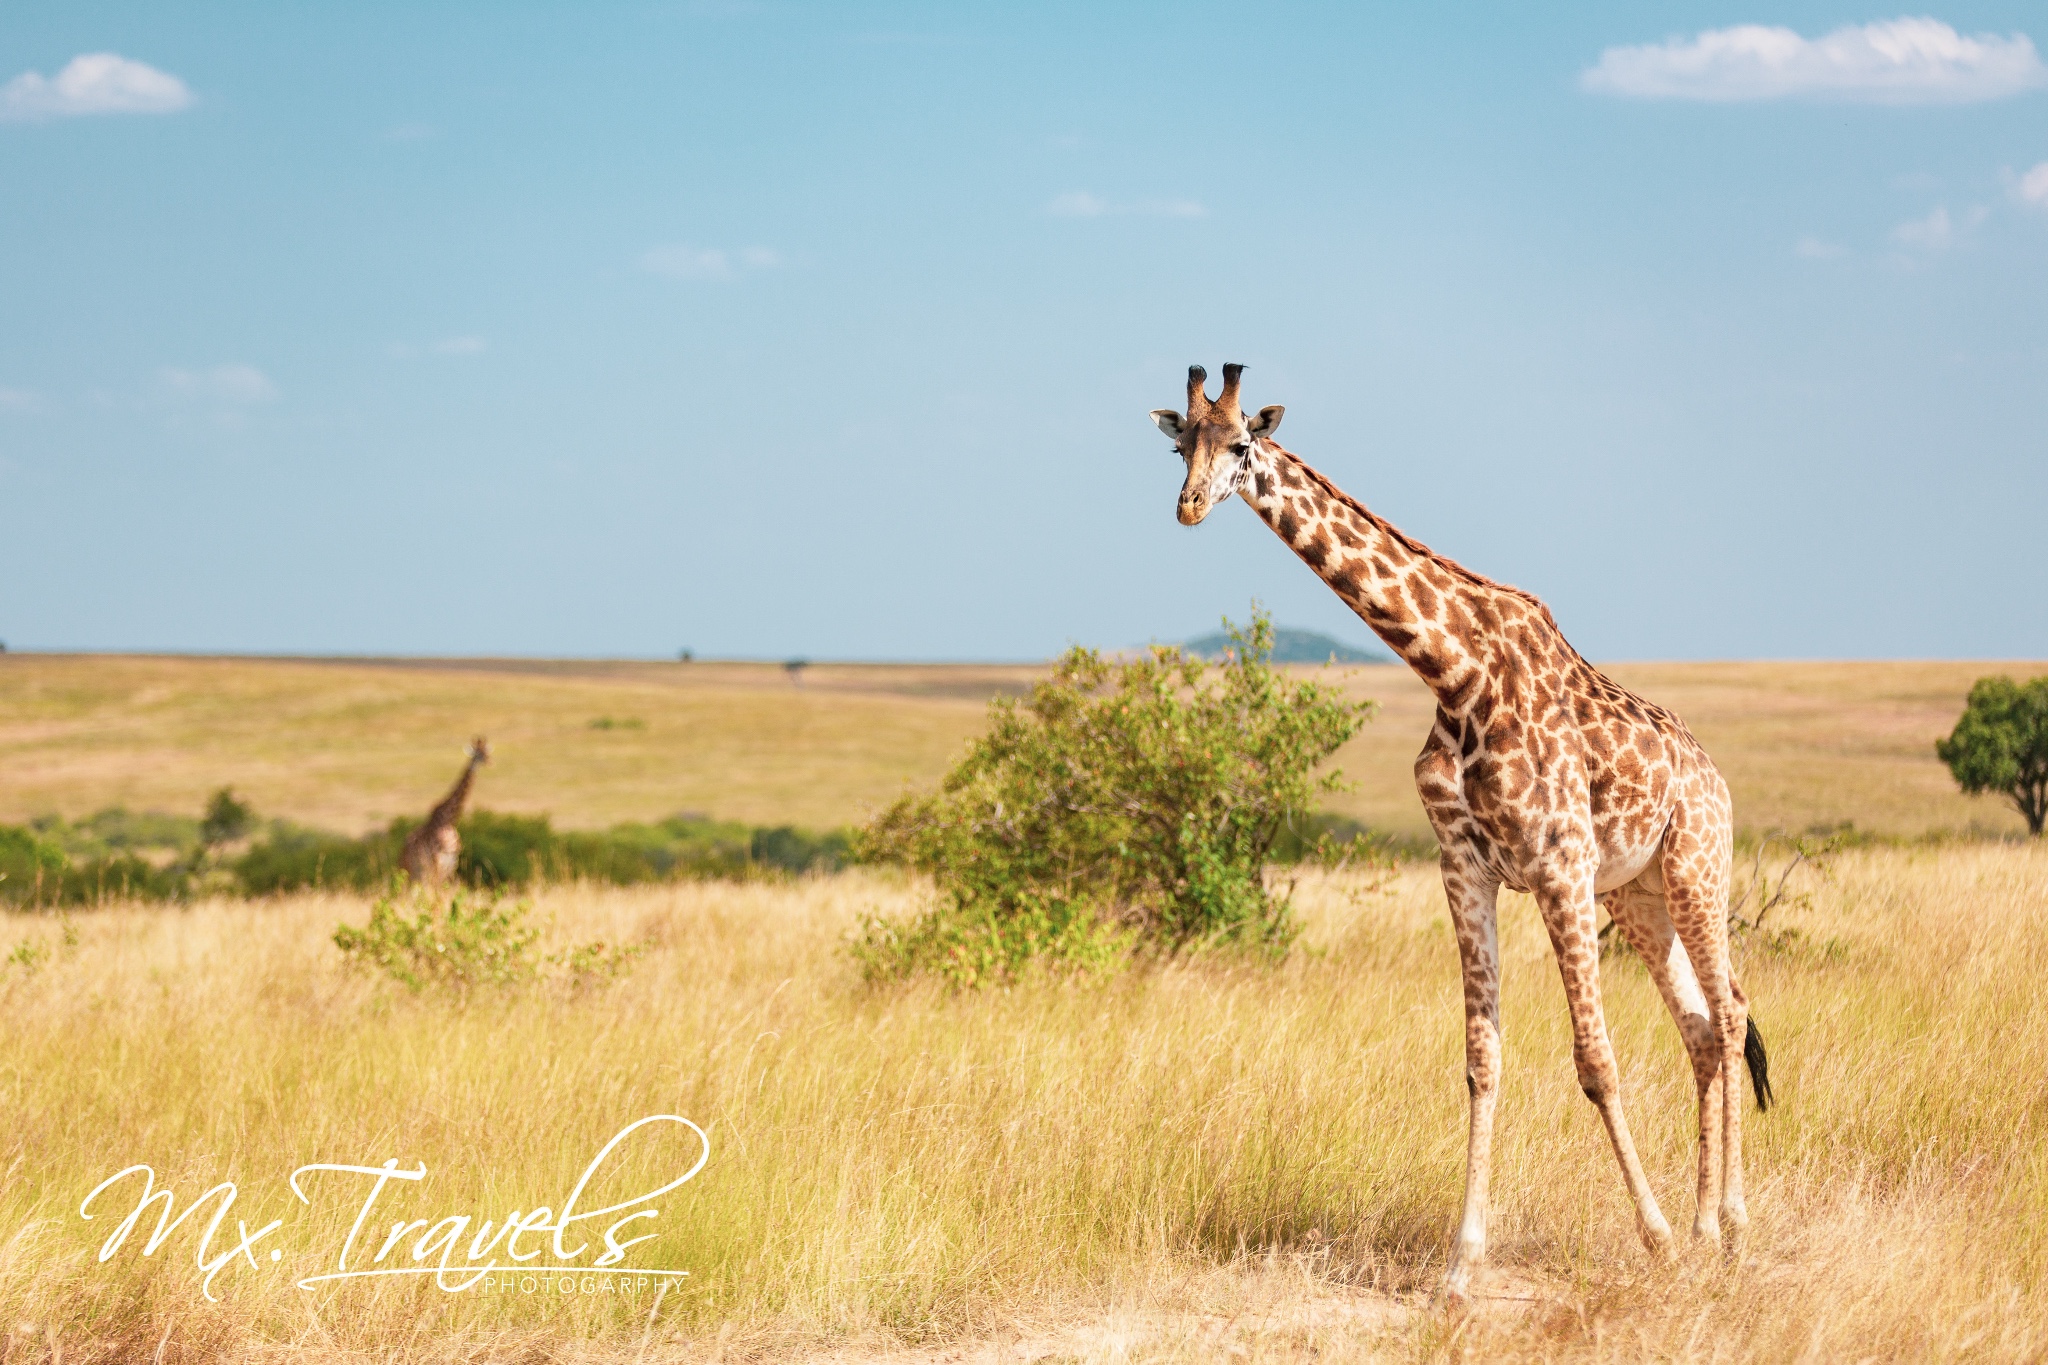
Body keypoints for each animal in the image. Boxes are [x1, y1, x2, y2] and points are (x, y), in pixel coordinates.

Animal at [401, 740, 493, 892]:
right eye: (477, 754)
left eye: (487, 751)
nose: (489, 761)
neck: (448, 821)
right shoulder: (437, 858)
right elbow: (437, 889)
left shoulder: (452, 861)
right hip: (410, 867)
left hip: (420, 871)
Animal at [1146, 368, 1769, 1309]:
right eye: (1182, 444)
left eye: (1243, 444)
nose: (1187, 506)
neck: (1454, 672)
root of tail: (1715, 775)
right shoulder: (1465, 868)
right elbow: (1482, 1060)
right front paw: (1459, 1267)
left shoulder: (1557, 864)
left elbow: (1595, 1059)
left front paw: (1654, 1240)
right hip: (1637, 894)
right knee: (1701, 1025)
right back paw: (1706, 1228)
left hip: (1697, 863)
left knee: (1730, 1013)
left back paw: (1724, 1227)